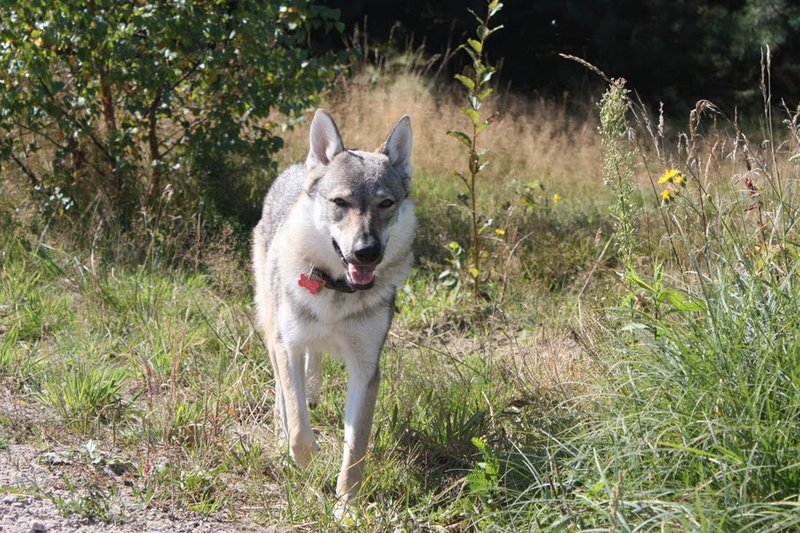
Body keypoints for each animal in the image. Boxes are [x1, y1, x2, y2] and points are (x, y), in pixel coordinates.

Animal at [251, 109, 415, 512]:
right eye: (340, 202)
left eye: (386, 204)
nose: (367, 252)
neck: (337, 291)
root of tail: (298, 167)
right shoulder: (288, 347)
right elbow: (298, 425)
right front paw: (305, 461)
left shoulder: (366, 369)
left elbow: (356, 448)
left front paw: (347, 508)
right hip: (271, 328)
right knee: (283, 389)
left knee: (315, 365)